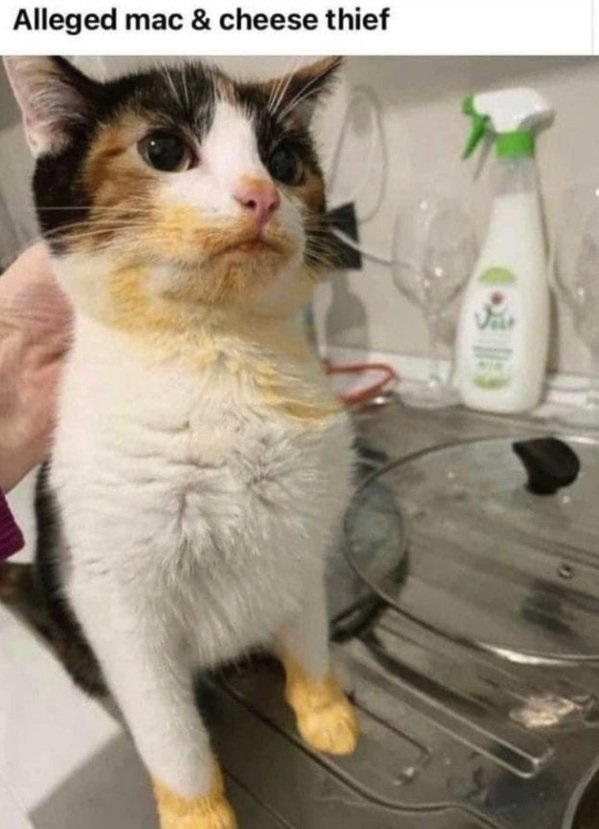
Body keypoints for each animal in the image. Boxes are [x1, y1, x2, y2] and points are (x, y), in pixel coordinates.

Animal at [2, 56, 358, 829]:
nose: (260, 194)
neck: (217, 354)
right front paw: (198, 809)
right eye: (163, 150)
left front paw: (324, 710)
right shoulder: (115, 602)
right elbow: (171, 734)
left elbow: (309, 637)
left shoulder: (299, 544)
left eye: (284, 162)